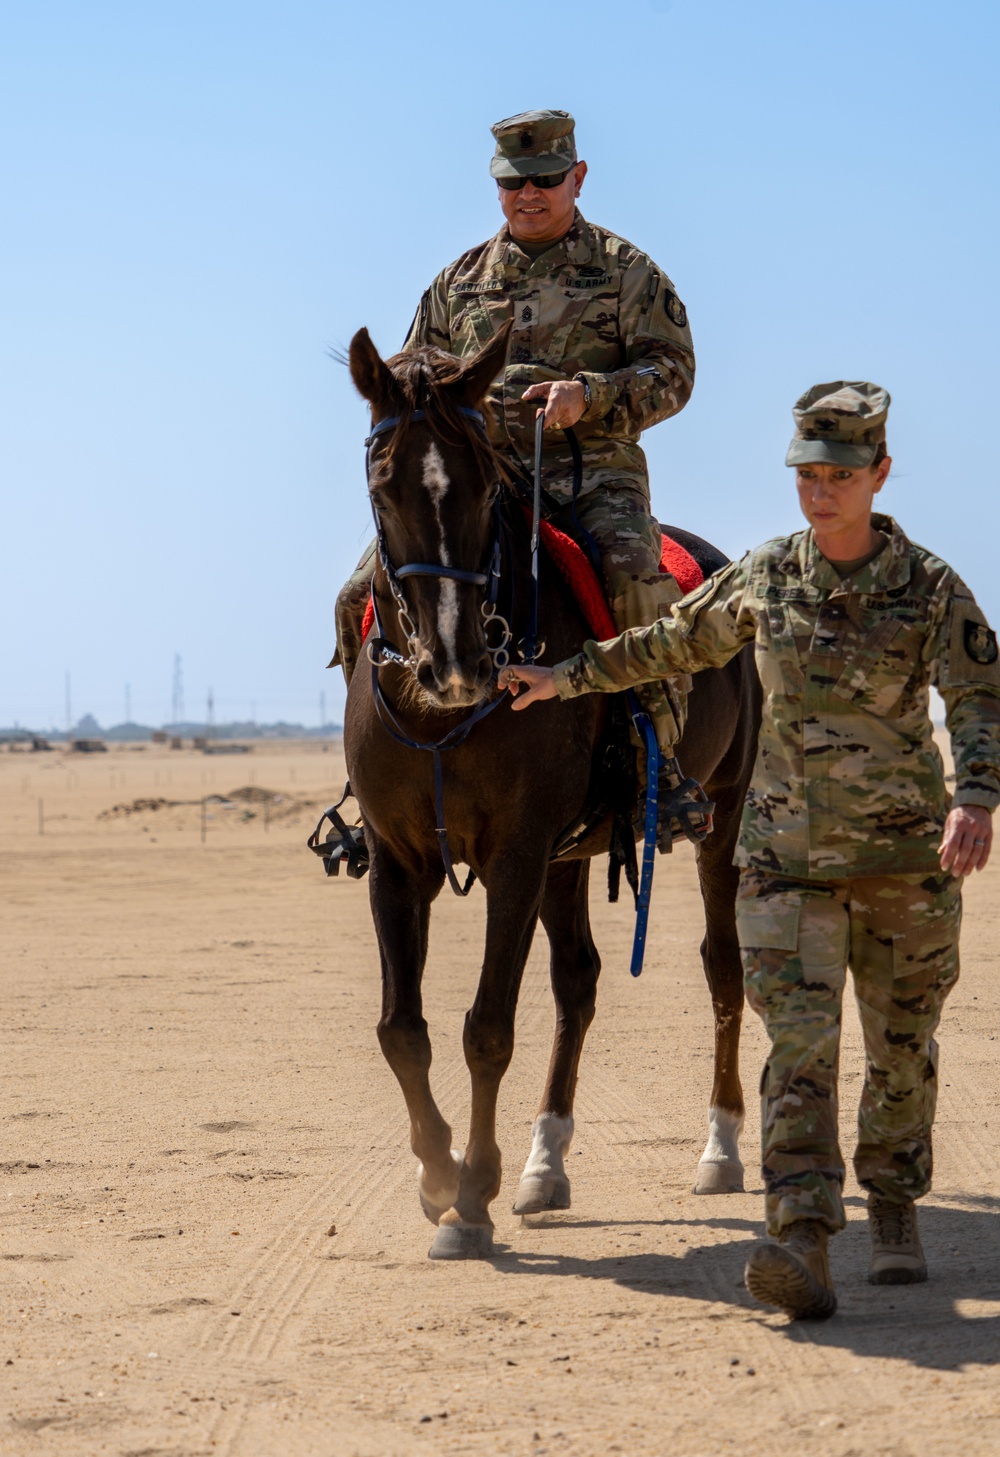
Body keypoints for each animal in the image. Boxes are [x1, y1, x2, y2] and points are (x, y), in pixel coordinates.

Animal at [341, 324, 763, 1258]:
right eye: (383, 483)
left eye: (482, 483)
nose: (457, 666)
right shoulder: (398, 861)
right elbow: (399, 1030)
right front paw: (438, 1174)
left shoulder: (518, 854)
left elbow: (487, 1027)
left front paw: (470, 1198)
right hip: (574, 856)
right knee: (579, 981)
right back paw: (545, 1163)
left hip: (720, 822)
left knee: (723, 968)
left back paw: (718, 1148)